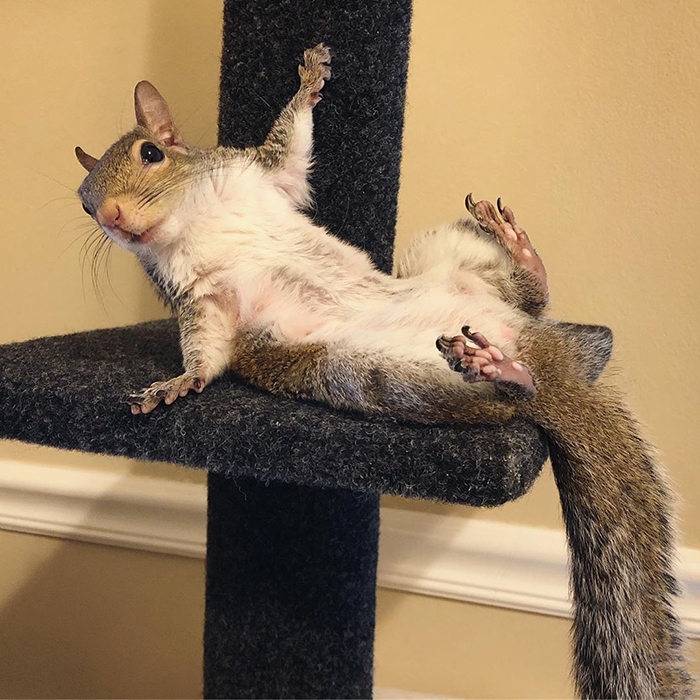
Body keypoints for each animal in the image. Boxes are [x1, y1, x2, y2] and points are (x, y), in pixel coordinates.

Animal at [75, 45, 692, 699]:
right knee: (505, 392)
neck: (187, 222)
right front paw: (177, 384)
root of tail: (543, 365)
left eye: (151, 153)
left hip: (454, 264)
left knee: (531, 297)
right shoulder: (202, 304)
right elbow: (205, 352)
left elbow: (288, 141)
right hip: (371, 375)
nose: (111, 215)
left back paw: (519, 257)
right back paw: (495, 368)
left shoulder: (260, 173)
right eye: (84, 201)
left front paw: (309, 79)